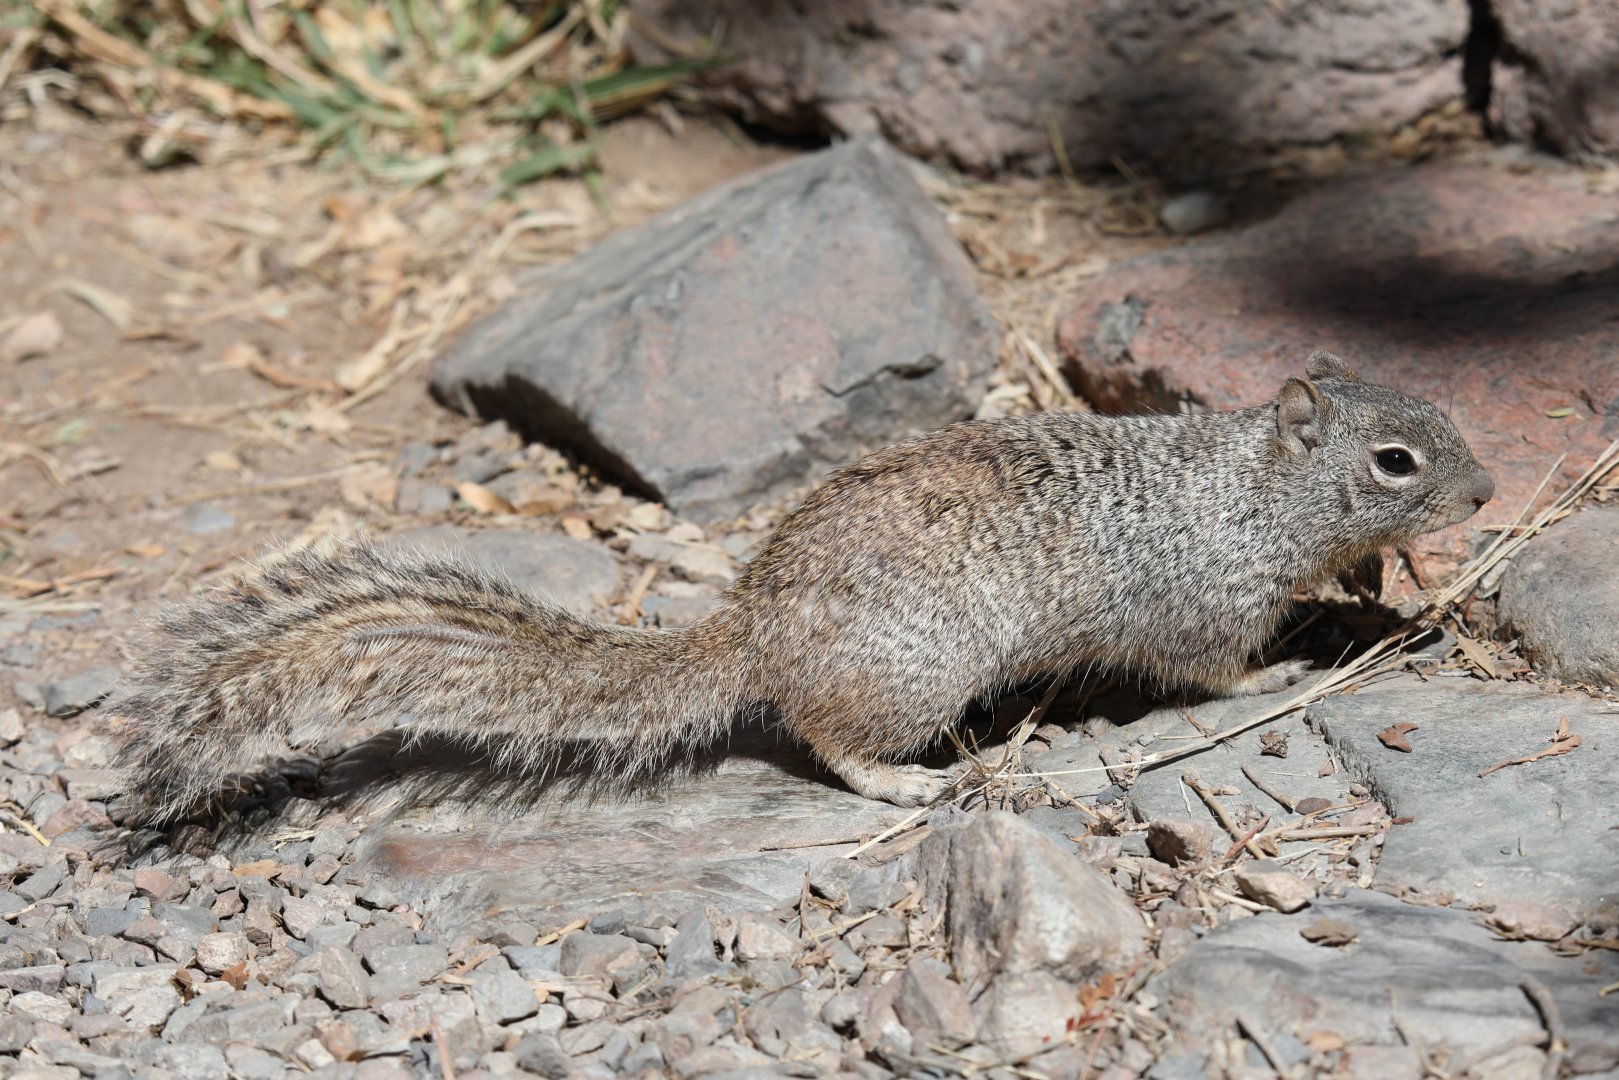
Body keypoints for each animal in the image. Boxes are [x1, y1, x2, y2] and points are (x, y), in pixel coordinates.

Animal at [113, 352, 1493, 816]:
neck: (1253, 491)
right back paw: (907, 780)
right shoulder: (1198, 601)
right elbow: (1212, 668)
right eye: (1395, 458)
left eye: (1440, 416)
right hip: (913, 678)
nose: (1484, 495)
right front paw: (1288, 663)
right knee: (823, 738)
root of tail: (756, 630)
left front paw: (1383, 588)